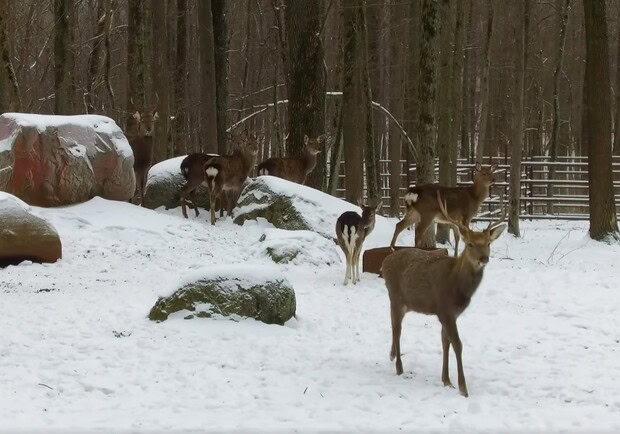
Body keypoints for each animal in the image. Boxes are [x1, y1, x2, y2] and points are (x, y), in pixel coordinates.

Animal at [382, 192, 504, 398]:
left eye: (488, 243)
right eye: (470, 244)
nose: (484, 258)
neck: (456, 286)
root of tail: (384, 263)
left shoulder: (451, 313)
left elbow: (445, 343)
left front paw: (446, 380)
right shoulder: (444, 309)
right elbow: (458, 344)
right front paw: (463, 387)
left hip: (406, 303)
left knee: (393, 327)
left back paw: (391, 355)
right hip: (395, 296)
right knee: (397, 329)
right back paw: (399, 367)